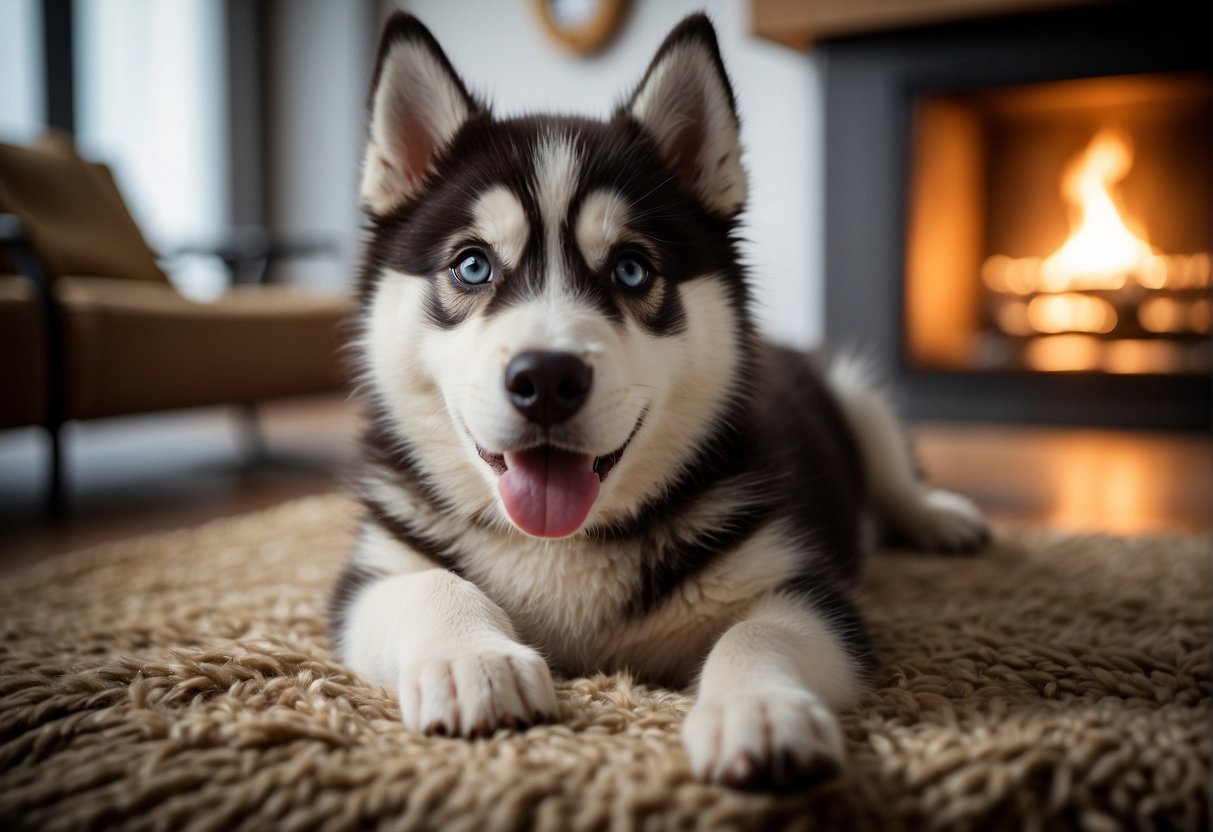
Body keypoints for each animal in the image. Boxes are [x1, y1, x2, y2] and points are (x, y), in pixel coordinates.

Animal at [329, 11, 984, 790]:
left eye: (632, 270)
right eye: (472, 265)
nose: (545, 379)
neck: (561, 549)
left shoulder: (804, 587)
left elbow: (757, 629)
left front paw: (757, 708)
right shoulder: (369, 577)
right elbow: (431, 583)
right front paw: (475, 658)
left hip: (854, 393)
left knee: (892, 470)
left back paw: (938, 516)